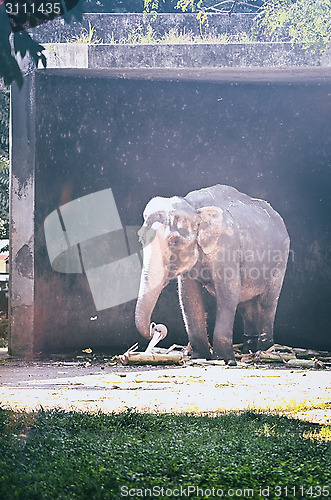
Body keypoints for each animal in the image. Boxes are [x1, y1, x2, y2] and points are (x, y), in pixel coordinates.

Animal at [135, 186, 290, 366]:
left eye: (174, 241)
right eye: (141, 239)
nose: (156, 327)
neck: (194, 208)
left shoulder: (226, 248)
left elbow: (229, 293)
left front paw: (225, 360)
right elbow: (188, 297)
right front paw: (199, 357)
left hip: (280, 260)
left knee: (267, 302)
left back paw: (265, 352)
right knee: (247, 305)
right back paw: (248, 351)